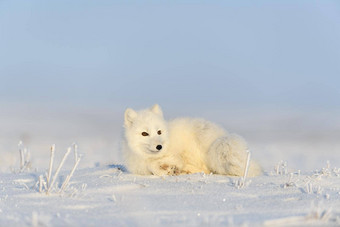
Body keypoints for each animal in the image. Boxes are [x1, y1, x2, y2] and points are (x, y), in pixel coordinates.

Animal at [122, 104, 262, 177]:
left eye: (159, 132)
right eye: (144, 133)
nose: (159, 146)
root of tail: (223, 135)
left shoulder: (175, 154)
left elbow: (166, 162)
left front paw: (170, 168)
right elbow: (152, 167)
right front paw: (167, 169)